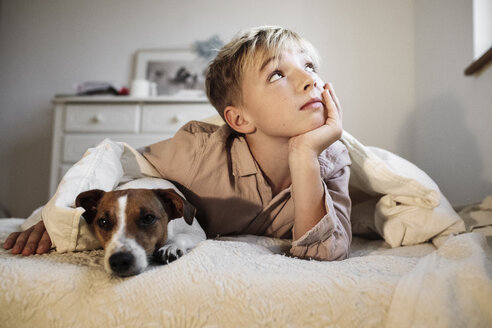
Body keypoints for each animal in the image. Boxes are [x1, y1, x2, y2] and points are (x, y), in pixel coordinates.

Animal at [75, 177, 206, 276]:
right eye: (103, 221)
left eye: (148, 218)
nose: (119, 260)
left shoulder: (197, 232)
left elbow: (181, 236)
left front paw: (171, 246)